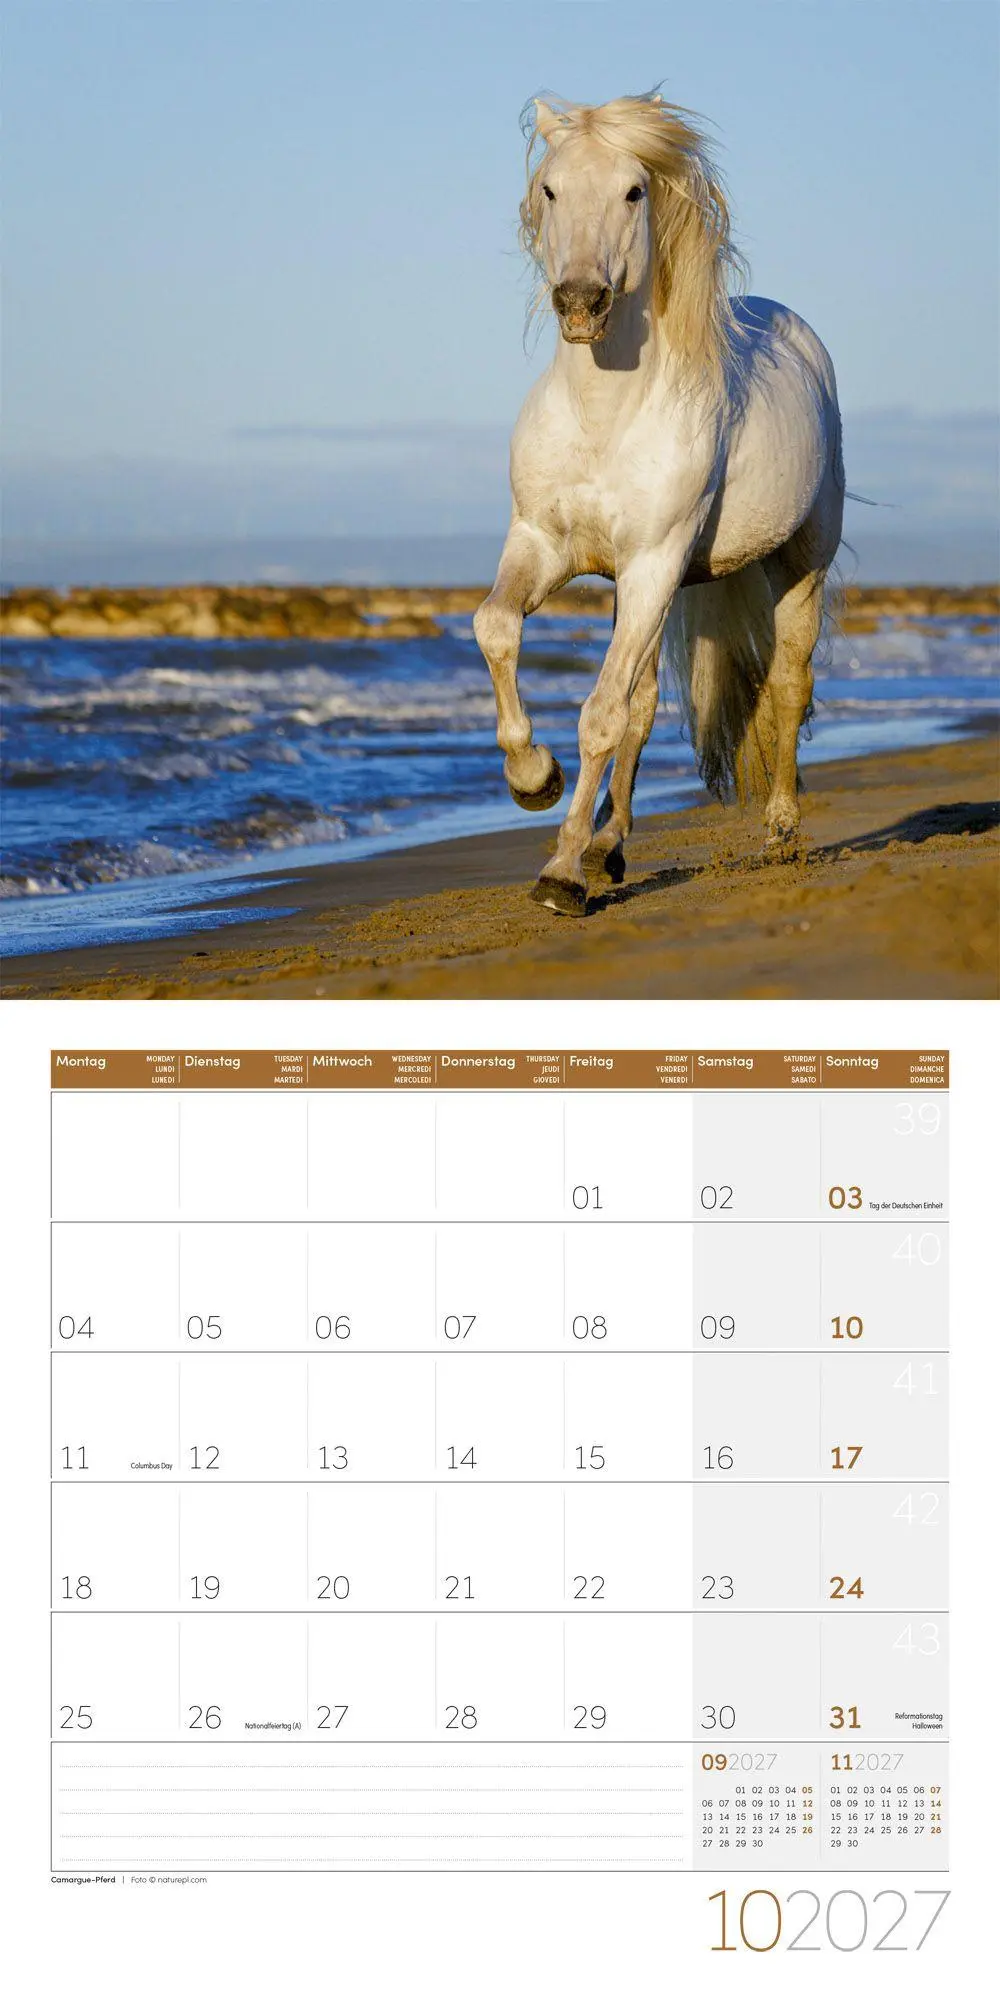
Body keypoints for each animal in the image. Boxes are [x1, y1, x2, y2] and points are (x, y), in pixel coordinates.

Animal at [473, 91, 845, 915]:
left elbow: (601, 714)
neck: (604, 415)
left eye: (634, 191)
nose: (581, 302)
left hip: (797, 563)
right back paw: (611, 845)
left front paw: (560, 875)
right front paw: (533, 778)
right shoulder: (545, 544)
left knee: (787, 681)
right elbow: (497, 629)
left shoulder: (653, 562)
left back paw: (780, 829)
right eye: (549, 188)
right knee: (645, 703)